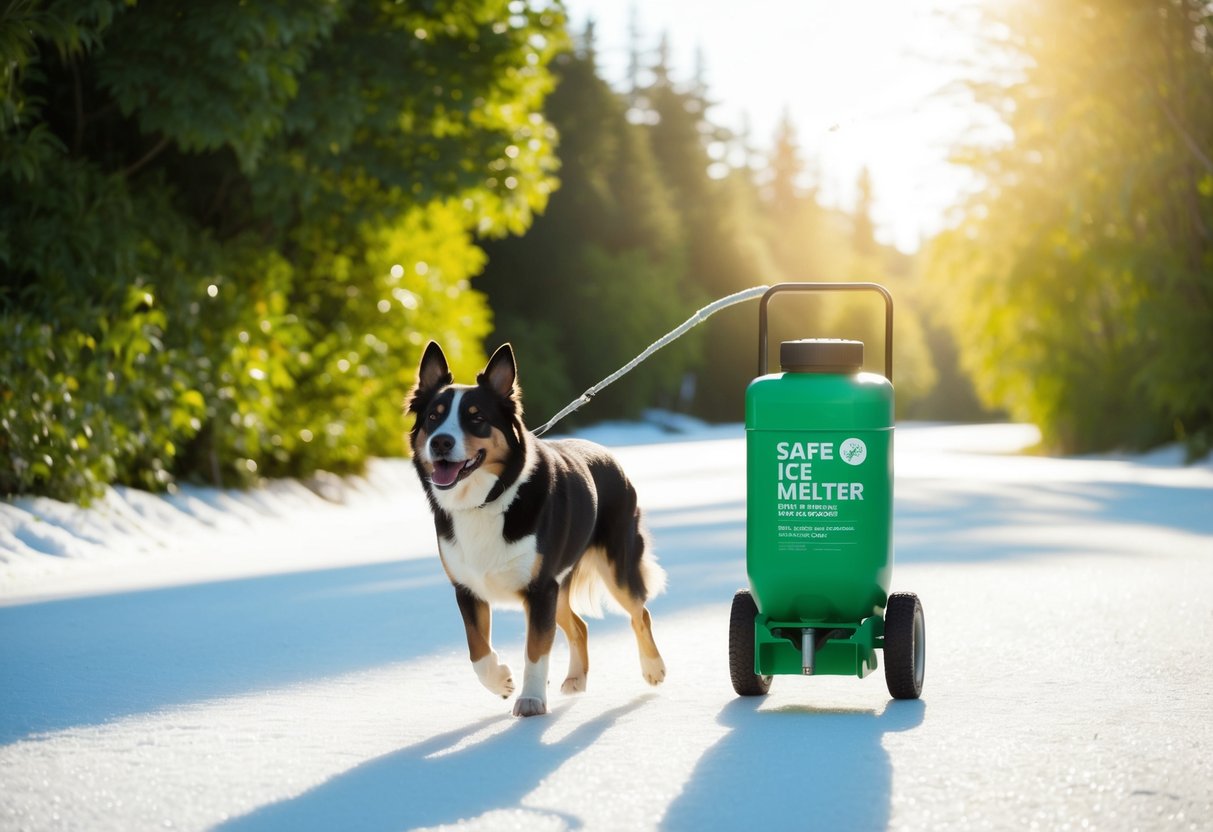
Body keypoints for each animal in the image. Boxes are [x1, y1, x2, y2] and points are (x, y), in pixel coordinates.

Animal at [409, 342, 674, 717]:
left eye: (476, 417)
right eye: (434, 416)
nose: (441, 442)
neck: (487, 501)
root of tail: (607, 454)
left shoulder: (540, 589)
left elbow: (535, 651)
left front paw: (531, 700)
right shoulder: (468, 588)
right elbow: (477, 650)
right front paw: (501, 680)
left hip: (615, 566)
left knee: (641, 612)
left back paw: (653, 668)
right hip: (559, 586)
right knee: (580, 626)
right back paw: (577, 680)